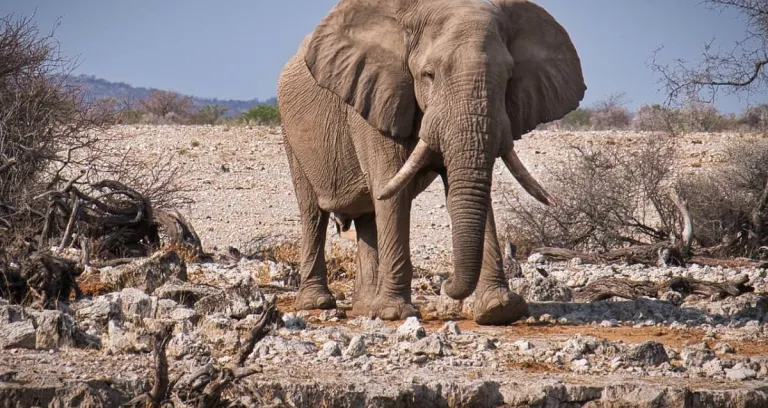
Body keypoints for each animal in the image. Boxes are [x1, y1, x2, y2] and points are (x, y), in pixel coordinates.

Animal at [280, 0, 584, 326]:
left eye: (509, 77)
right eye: (428, 74)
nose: (447, 285)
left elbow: (466, 191)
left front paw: (500, 309)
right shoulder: (377, 99)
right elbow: (392, 191)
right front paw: (395, 313)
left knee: (367, 217)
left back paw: (365, 308)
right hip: (291, 134)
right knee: (313, 213)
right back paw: (318, 303)